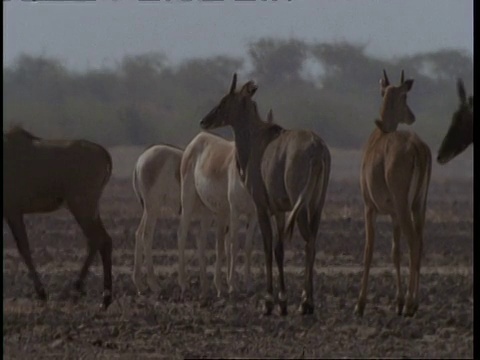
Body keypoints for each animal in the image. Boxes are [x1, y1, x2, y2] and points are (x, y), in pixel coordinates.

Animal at [3, 126, 113, 310]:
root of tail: (103, 153)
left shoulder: (13, 211)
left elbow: (24, 248)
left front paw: (42, 293)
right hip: (90, 208)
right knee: (99, 240)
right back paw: (92, 294)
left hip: (81, 205)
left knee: (100, 239)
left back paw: (94, 295)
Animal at [131, 143, 184, 292]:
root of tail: (139, 162)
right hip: (152, 209)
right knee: (147, 235)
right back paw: (154, 284)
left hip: (148, 210)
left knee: (139, 233)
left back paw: (140, 284)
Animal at [176, 81, 266, 298]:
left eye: (225, 100)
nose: (204, 120)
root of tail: (196, 141)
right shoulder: (234, 210)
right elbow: (232, 244)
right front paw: (231, 285)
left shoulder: (253, 213)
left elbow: (246, 246)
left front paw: (247, 285)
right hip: (188, 200)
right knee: (182, 233)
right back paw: (183, 284)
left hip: (208, 209)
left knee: (201, 239)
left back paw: (205, 286)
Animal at [199, 74, 330, 316]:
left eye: (224, 101)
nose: (204, 121)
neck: (256, 139)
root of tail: (317, 150)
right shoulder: (280, 210)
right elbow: (279, 249)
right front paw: (282, 300)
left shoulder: (261, 207)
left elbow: (268, 246)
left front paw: (269, 302)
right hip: (317, 204)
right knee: (313, 241)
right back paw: (307, 301)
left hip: (301, 205)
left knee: (308, 241)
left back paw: (306, 302)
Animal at [354, 70, 434, 318]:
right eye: (404, 96)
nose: (412, 115)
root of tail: (417, 146)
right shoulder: (393, 215)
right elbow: (394, 252)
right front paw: (397, 301)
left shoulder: (369, 208)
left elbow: (368, 250)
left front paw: (360, 304)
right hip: (418, 205)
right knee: (420, 242)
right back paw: (410, 302)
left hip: (403, 205)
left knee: (413, 242)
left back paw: (411, 304)